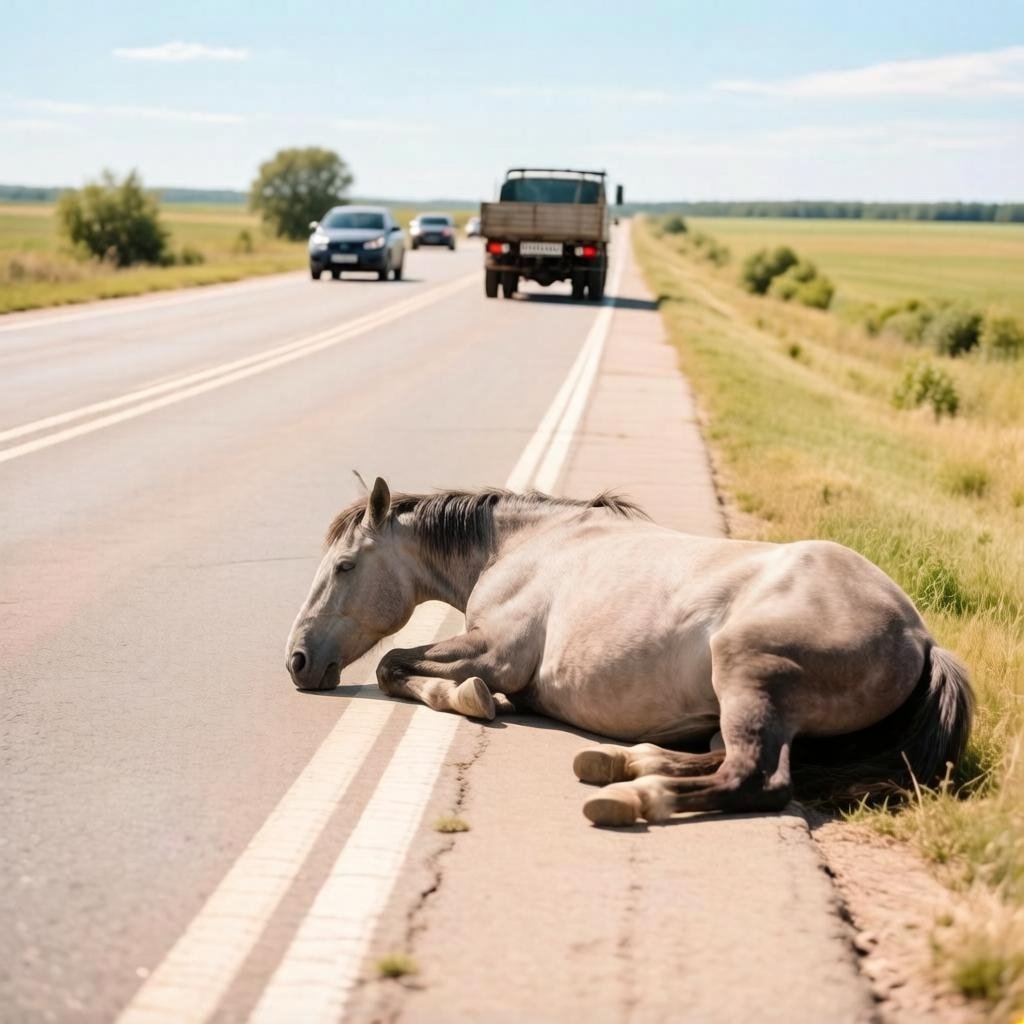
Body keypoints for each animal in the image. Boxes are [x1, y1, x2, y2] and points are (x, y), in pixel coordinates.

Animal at [285, 478, 973, 827]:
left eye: (345, 566)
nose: (296, 660)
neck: (526, 544)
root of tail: (919, 637)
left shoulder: (495, 652)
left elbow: (396, 666)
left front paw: (472, 699)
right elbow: (400, 664)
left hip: (746, 676)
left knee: (756, 779)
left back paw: (638, 798)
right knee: (726, 758)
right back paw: (627, 764)